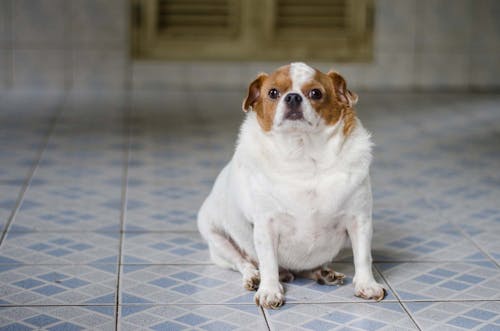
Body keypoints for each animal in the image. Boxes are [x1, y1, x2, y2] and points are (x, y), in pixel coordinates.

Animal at [197, 63, 384, 310]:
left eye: (316, 93)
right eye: (273, 92)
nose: (293, 97)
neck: (303, 155)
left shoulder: (359, 220)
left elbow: (363, 256)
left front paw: (367, 285)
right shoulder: (265, 226)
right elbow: (268, 262)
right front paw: (269, 290)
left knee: (306, 269)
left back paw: (322, 273)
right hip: (218, 240)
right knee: (244, 262)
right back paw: (256, 277)